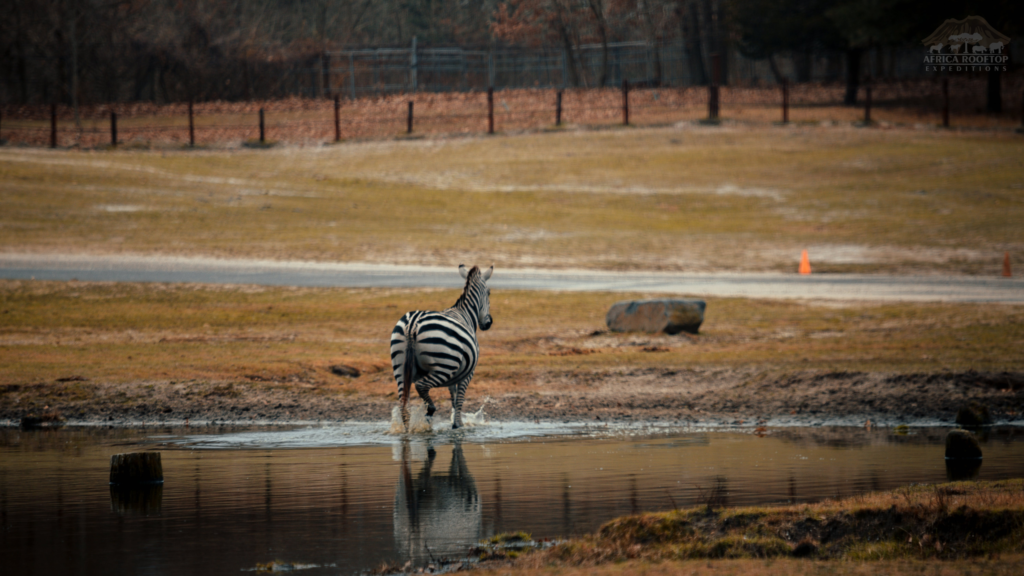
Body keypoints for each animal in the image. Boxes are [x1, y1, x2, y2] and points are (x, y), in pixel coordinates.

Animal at [389, 262, 493, 428]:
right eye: (489, 293)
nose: (488, 323)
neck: (465, 313)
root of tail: (413, 324)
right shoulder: (467, 374)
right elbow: (459, 400)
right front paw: (458, 424)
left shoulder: (454, 376)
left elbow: (453, 398)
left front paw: (455, 422)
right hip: (444, 366)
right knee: (421, 386)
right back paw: (430, 411)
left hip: (400, 367)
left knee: (403, 406)